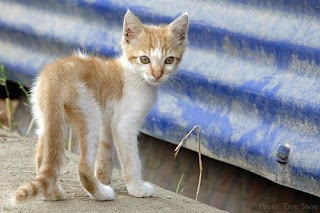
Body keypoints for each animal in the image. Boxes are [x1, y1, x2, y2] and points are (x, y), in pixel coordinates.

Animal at [13, 10, 188, 203]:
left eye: (169, 60)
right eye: (144, 59)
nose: (157, 74)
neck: (134, 75)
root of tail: (55, 74)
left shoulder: (108, 120)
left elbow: (106, 150)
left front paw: (104, 177)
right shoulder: (123, 125)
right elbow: (131, 160)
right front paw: (137, 188)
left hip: (48, 118)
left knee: (43, 156)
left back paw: (52, 194)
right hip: (90, 114)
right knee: (82, 167)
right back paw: (102, 194)